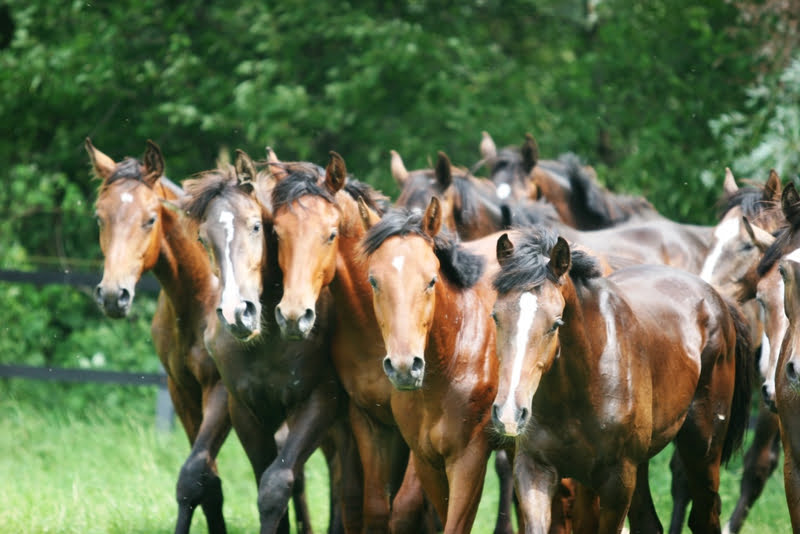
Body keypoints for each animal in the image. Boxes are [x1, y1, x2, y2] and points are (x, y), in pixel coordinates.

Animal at [88, 139, 231, 534]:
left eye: (149, 219)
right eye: (99, 218)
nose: (113, 295)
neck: (202, 295)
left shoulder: (222, 391)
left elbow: (191, 477)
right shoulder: (181, 391)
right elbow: (209, 485)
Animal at [183, 156, 358, 534]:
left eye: (255, 227)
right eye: (203, 238)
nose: (237, 313)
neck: (270, 342)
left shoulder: (318, 401)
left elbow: (276, 484)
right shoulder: (246, 411)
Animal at [488, 228, 752, 532]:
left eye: (555, 323)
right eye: (495, 316)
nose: (509, 414)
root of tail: (717, 298)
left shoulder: (617, 481)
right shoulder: (534, 468)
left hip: (702, 451)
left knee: (703, 516)